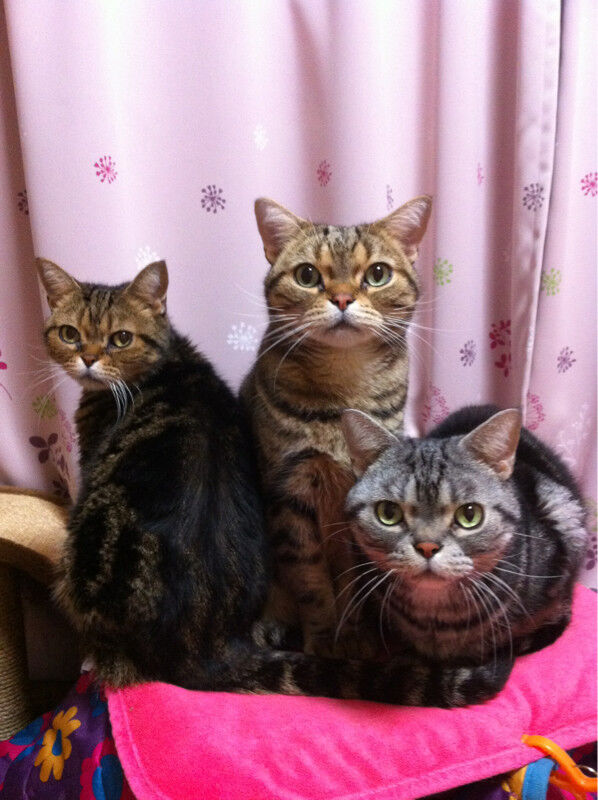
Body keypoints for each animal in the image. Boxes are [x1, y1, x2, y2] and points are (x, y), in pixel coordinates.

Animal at [242, 195, 432, 658]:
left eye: (378, 274)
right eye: (307, 275)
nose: (343, 298)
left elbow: (352, 580)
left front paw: (355, 638)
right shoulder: (291, 491)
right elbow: (312, 583)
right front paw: (325, 642)